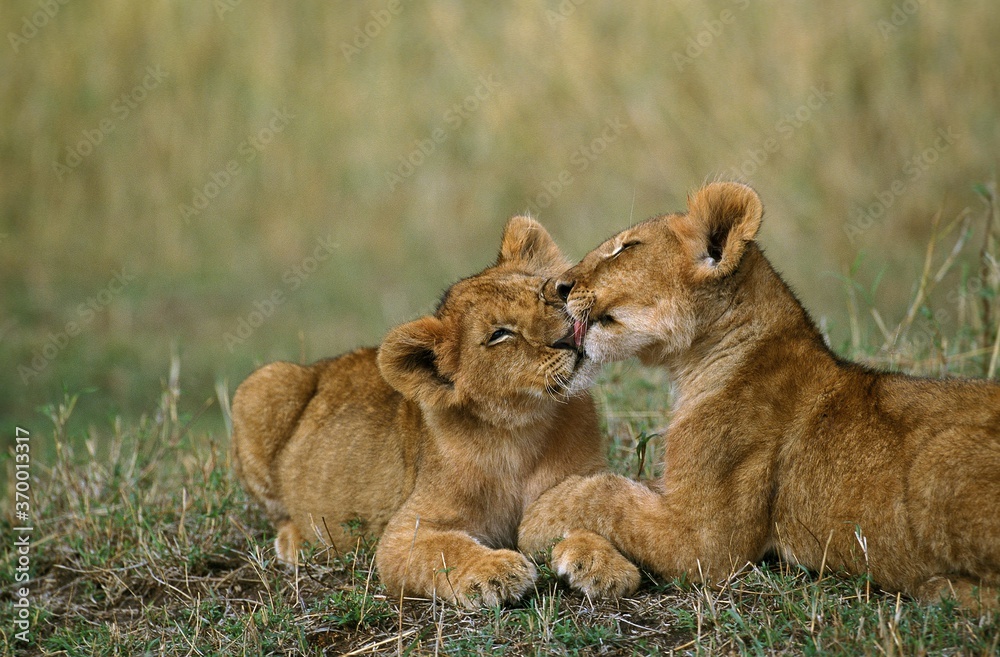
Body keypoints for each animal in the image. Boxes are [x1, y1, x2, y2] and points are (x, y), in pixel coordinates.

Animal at [231, 216, 639, 607]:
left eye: (548, 293)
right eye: (500, 335)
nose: (569, 336)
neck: (522, 430)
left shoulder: (575, 482)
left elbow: (585, 516)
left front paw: (605, 564)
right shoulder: (402, 534)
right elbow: (445, 550)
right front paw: (496, 570)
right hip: (262, 384)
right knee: (279, 514)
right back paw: (297, 542)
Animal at [519, 182, 1000, 609]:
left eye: (626, 248)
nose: (556, 288)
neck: (698, 362)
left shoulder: (707, 541)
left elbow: (604, 492)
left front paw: (539, 518)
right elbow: (622, 486)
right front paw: (581, 553)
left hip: (940, 454)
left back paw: (937, 588)